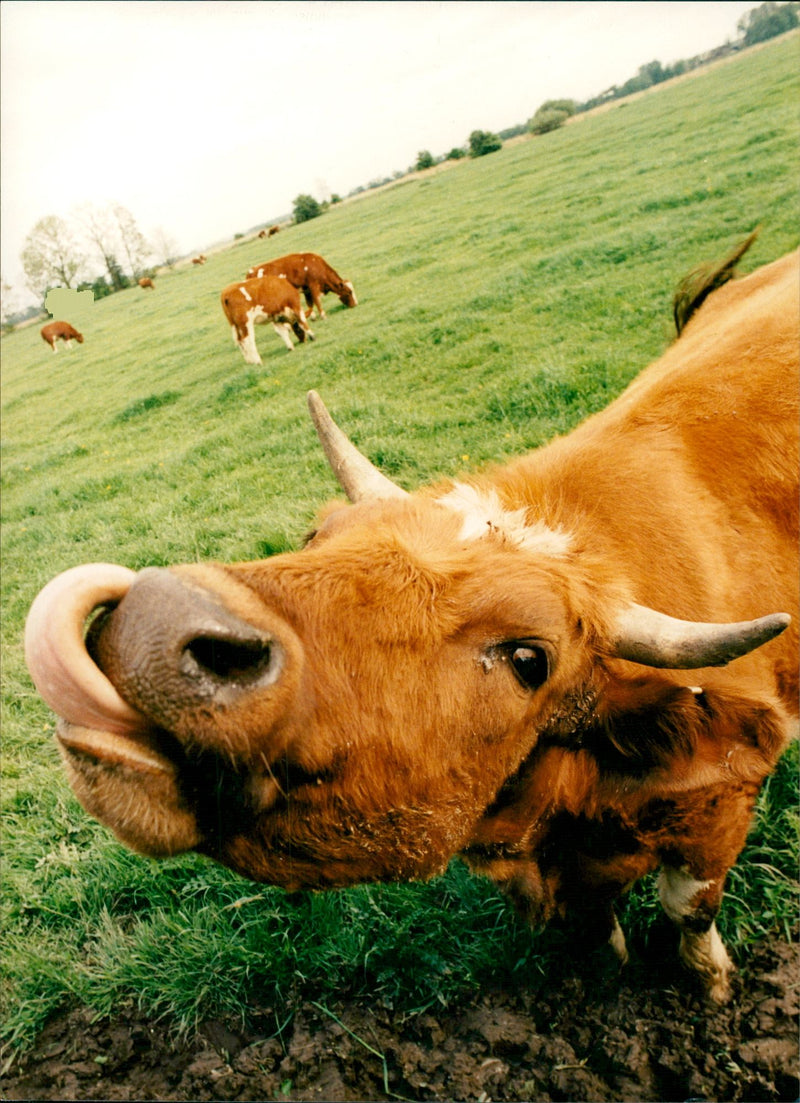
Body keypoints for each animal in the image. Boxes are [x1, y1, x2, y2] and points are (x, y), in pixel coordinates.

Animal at [23, 239, 794, 1001]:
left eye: (528, 659)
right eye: (318, 532)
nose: (155, 621)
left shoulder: (724, 799)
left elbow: (689, 908)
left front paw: (711, 984)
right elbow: (592, 926)